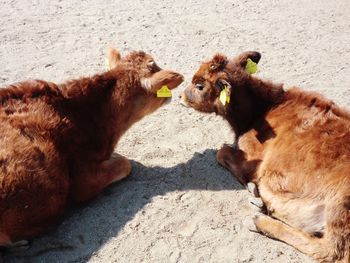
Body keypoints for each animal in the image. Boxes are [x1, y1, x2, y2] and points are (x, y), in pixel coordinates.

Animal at [182, 52, 350, 262]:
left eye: (199, 85)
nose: (180, 97)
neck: (261, 110)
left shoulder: (253, 157)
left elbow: (222, 152)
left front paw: (252, 188)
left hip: (341, 204)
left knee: (331, 249)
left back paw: (259, 220)